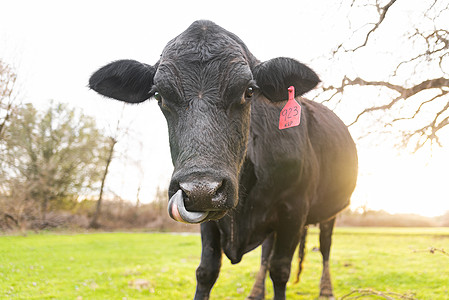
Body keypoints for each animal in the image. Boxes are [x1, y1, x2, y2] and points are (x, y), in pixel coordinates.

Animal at [89, 19, 356, 298]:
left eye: (249, 90)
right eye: (158, 95)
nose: (201, 190)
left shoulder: (294, 208)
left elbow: (281, 270)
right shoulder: (209, 223)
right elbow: (206, 270)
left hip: (329, 212)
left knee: (324, 246)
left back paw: (326, 289)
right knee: (266, 253)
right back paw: (256, 291)